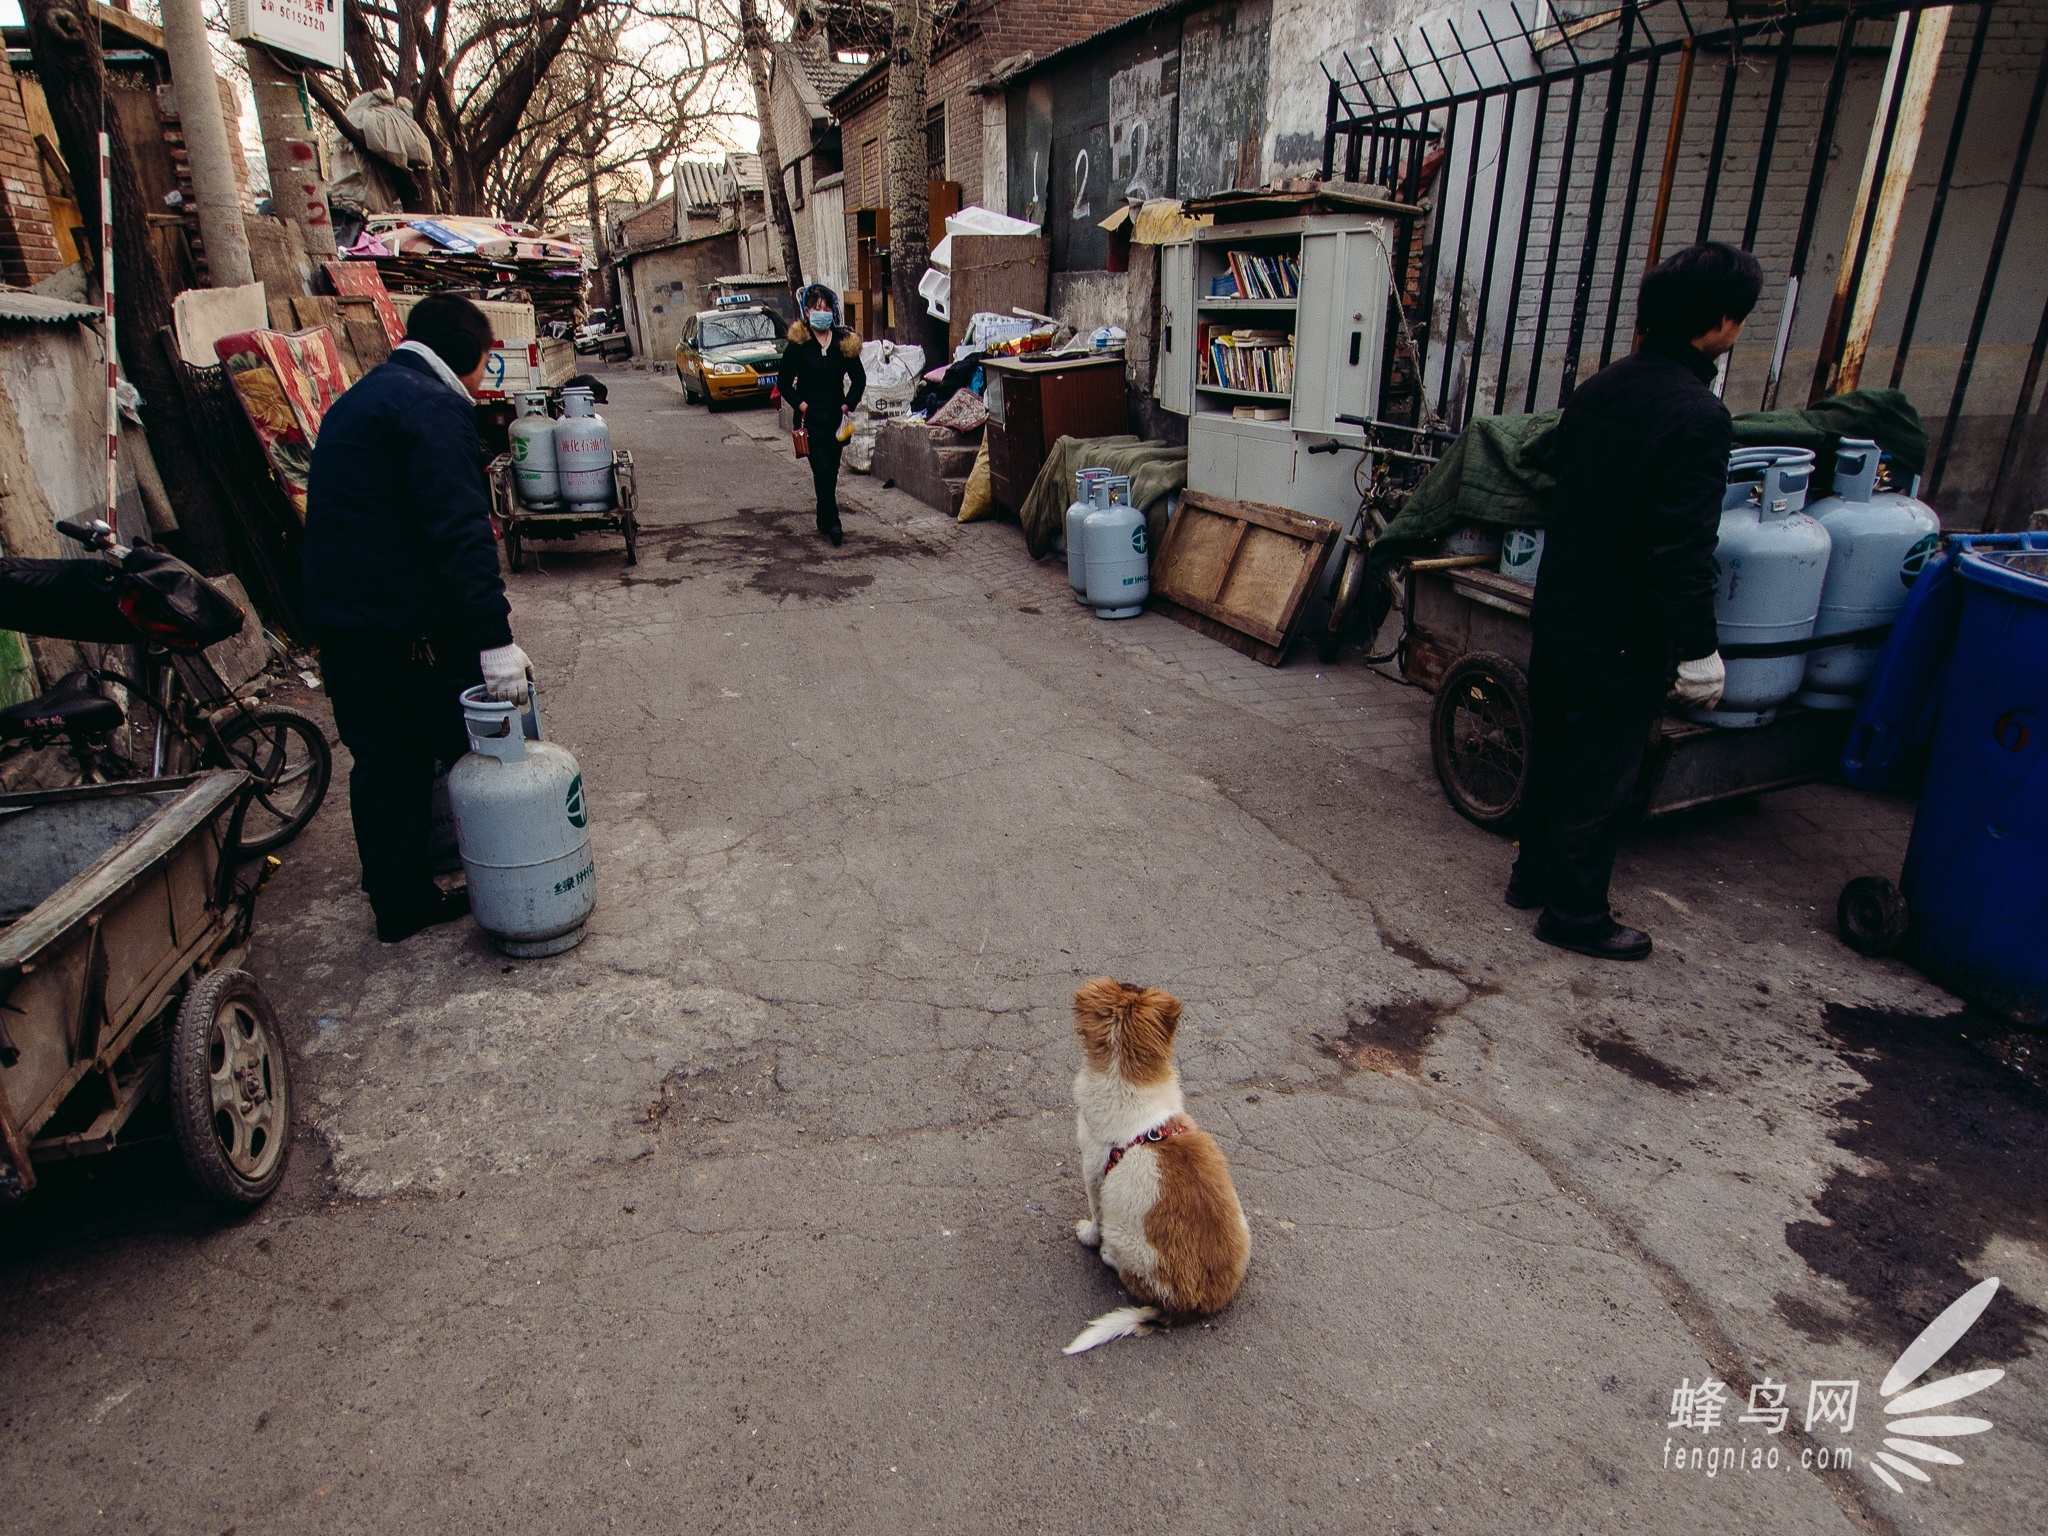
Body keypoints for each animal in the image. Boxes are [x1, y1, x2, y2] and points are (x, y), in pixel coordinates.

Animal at [1073, 978, 1245, 1351]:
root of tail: (1193, 1306)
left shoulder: (1094, 1175)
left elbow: (1094, 1217)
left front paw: (1087, 1235)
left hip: (1125, 1237)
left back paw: (1107, 1255)